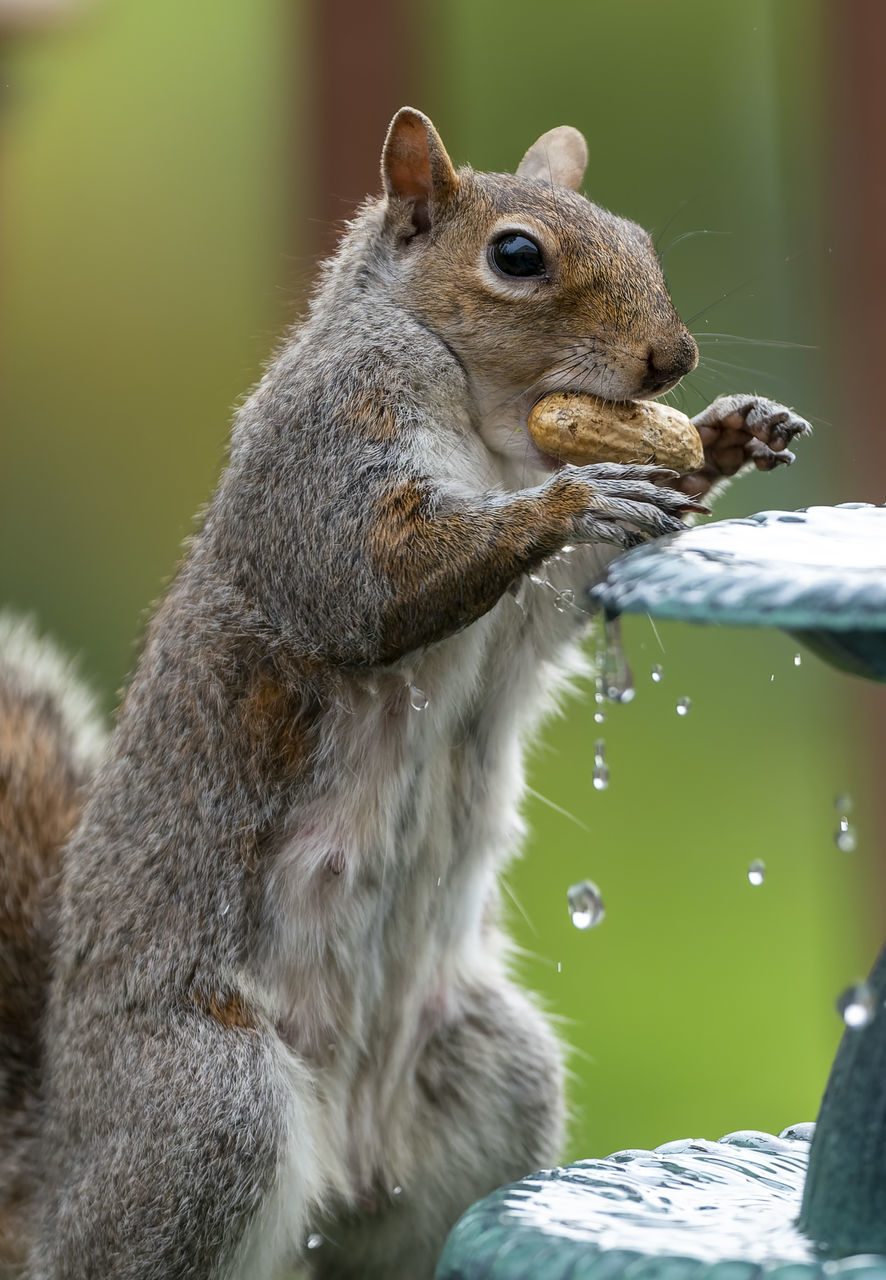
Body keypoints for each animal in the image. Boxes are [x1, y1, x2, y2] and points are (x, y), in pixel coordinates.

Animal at [0, 110, 809, 1280]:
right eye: (515, 255)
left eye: (638, 235)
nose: (674, 361)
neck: (496, 427)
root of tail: (51, 1185)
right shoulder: (326, 444)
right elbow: (369, 583)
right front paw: (579, 494)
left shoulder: (526, 616)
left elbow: (557, 598)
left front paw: (722, 435)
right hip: (207, 1112)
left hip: (488, 1075)